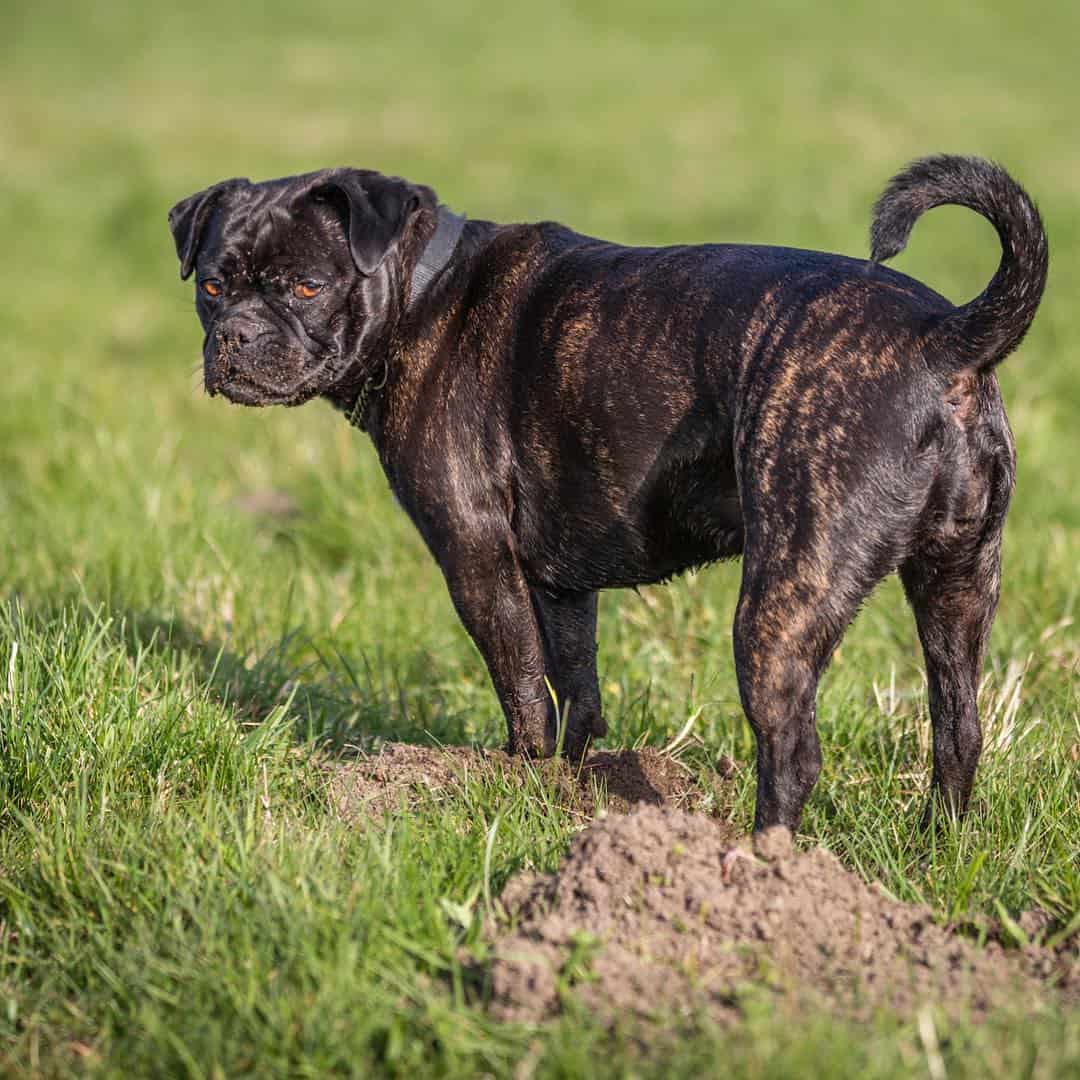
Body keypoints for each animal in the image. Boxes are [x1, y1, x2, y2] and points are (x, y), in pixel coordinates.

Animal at [168, 156, 1045, 829]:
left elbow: (523, 689)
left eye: (307, 289)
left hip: (784, 599)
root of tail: (944, 338)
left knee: (793, 753)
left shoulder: (478, 562)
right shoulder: (561, 587)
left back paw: (763, 863)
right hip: (960, 584)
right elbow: (576, 693)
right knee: (957, 730)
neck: (422, 289)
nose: (234, 336)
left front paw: (516, 781)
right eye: (210, 288)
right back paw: (936, 848)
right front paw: (567, 789)